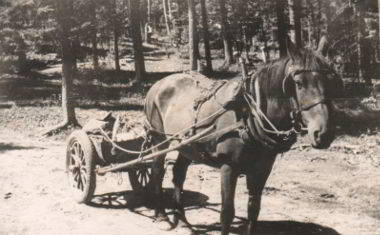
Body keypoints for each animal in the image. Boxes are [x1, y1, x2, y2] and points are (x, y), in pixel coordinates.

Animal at [142, 41, 336, 234]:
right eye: (298, 83)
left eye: (329, 81)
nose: (323, 133)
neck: (249, 112)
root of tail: (159, 83)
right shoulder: (229, 167)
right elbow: (227, 212)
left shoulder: (262, 169)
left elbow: (254, 209)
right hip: (159, 139)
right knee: (157, 171)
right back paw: (161, 214)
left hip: (188, 145)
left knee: (179, 174)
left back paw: (181, 218)